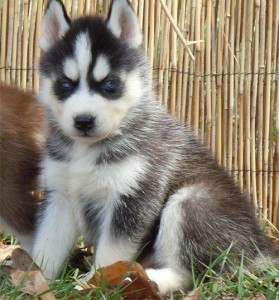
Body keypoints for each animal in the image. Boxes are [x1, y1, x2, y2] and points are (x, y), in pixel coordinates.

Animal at [34, 0, 278, 292]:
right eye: (64, 84)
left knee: (188, 274)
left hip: (192, 201)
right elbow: (46, 244)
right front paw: (31, 280)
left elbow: (111, 252)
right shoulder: (60, 193)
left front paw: (97, 284)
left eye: (110, 84)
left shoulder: (134, 194)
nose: (83, 120)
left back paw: (146, 278)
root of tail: (260, 244)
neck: (87, 149)